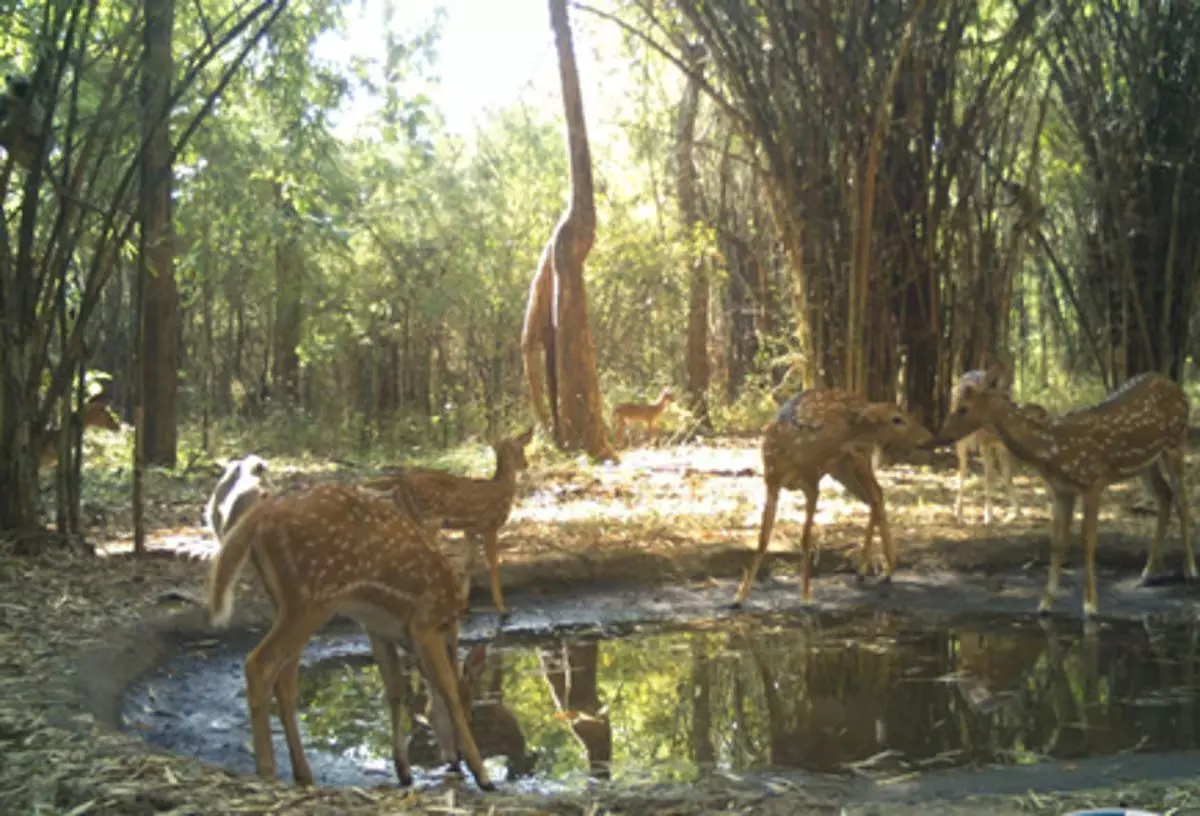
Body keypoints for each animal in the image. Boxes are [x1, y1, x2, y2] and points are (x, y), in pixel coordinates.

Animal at [204, 453, 494, 792]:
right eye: (470, 708)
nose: (455, 758)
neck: (449, 619)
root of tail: (260, 515)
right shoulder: (425, 623)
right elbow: (446, 687)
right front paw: (483, 775)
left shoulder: (379, 628)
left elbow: (395, 688)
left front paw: (403, 770)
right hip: (312, 599)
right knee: (258, 664)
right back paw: (267, 771)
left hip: (286, 601)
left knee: (285, 679)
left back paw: (303, 773)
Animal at [360, 427, 535, 619]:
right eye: (518, 449)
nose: (525, 463)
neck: (502, 488)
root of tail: (400, 481)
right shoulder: (489, 525)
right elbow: (493, 566)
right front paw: (502, 609)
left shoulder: (470, 529)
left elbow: (468, 563)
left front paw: (466, 607)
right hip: (428, 519)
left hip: (412, 518)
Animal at [729, 386, 936, 604]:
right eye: (897, 419)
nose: (928, 437)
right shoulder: (771, 482)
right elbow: (762, 539)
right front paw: (739, 597)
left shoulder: (813, 483)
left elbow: (805, 538)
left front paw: (805, 597)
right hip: (843, 468)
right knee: (874, 497)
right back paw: (872, 572)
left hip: (856, 460)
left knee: (876, 495)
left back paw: (877, 571)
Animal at [931, 364, 1195, 619]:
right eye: (956, 403)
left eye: (963, 408)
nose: (941, 436)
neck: (1052, 448)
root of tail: (1178, 389)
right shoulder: (1061, 491)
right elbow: (1057, 542)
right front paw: (1044, 604)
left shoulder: (1093, 481)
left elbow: (1088, 540)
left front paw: (1090, 606)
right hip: (1146, 462)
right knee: (1165, 496)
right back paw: (1149, 571)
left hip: (1176, 441)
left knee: (1182, 500)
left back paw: (1190, 570)